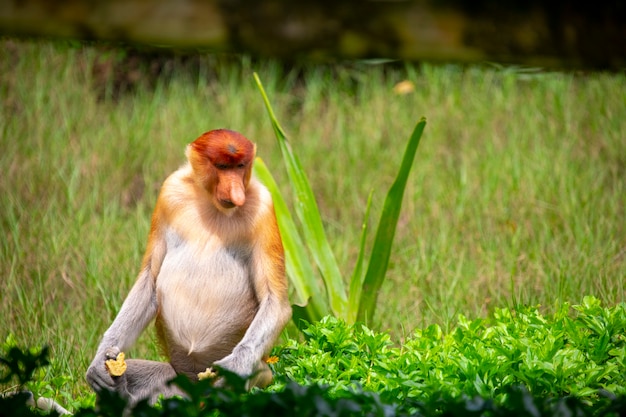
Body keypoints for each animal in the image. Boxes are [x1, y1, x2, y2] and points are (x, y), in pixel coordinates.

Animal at [85, 129, 292, 404]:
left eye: (240, 167)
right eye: (222, 167)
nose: (237, 192)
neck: (211, 203)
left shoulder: (264, 207)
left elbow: (275, 301)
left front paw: (235, 368)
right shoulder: (169, 191)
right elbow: (149, 280)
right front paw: (98, 364)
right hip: (173, 378)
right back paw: (119, 389)